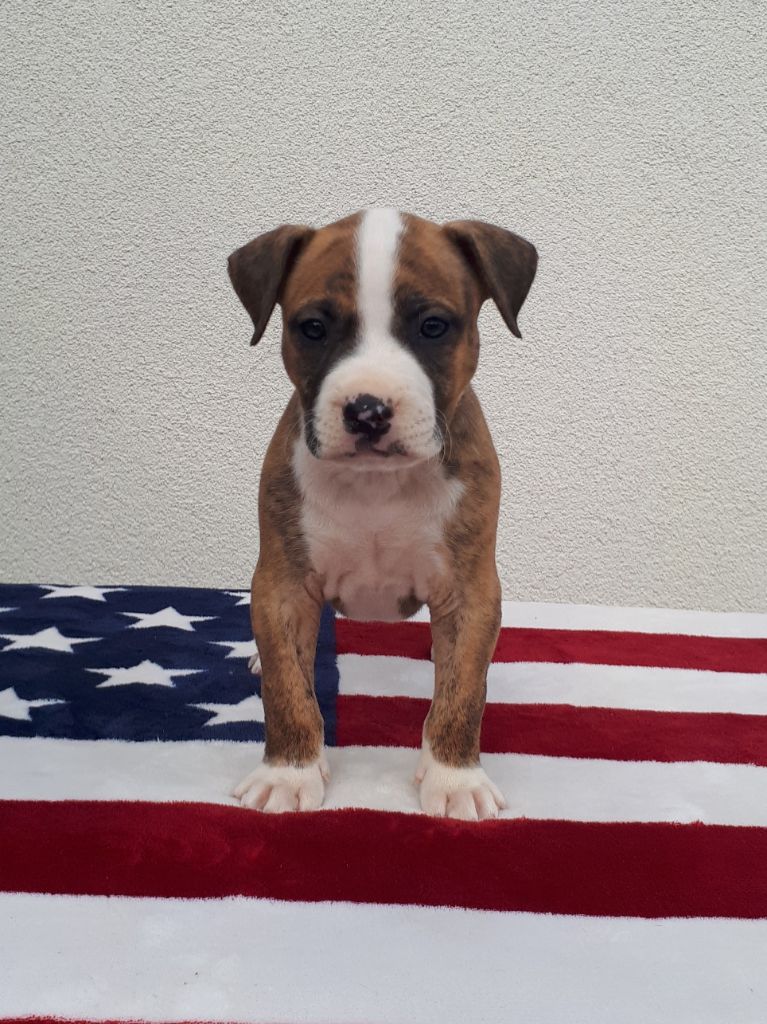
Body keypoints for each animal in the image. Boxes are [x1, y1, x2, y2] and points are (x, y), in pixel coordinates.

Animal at [227, 208, 537, 820]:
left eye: (434, 326)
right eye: (313, 328)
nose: (367, 410)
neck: (376, 486)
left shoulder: (470, 587)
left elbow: (463, 692)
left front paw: (454, 779)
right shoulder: (283, 584)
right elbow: (287, 688)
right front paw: (288, 771)